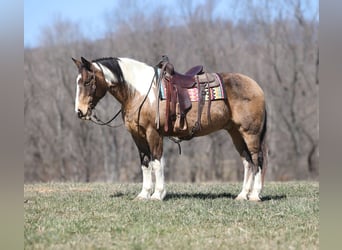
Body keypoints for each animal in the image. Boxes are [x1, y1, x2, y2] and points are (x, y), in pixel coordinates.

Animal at [72, 56, 268, 201]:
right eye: (78, 81)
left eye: (88, 81)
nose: (80, 112)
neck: (140, 92)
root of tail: (257, 87)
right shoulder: (137, 135)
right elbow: (145, 163)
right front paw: (143, 194)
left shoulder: (153, 133)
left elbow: (157, 162)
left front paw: (157, 194)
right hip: (235, 133)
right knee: (247, 161)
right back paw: (242, 195)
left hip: (250, 133)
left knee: (257, 159)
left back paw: (255, 195)